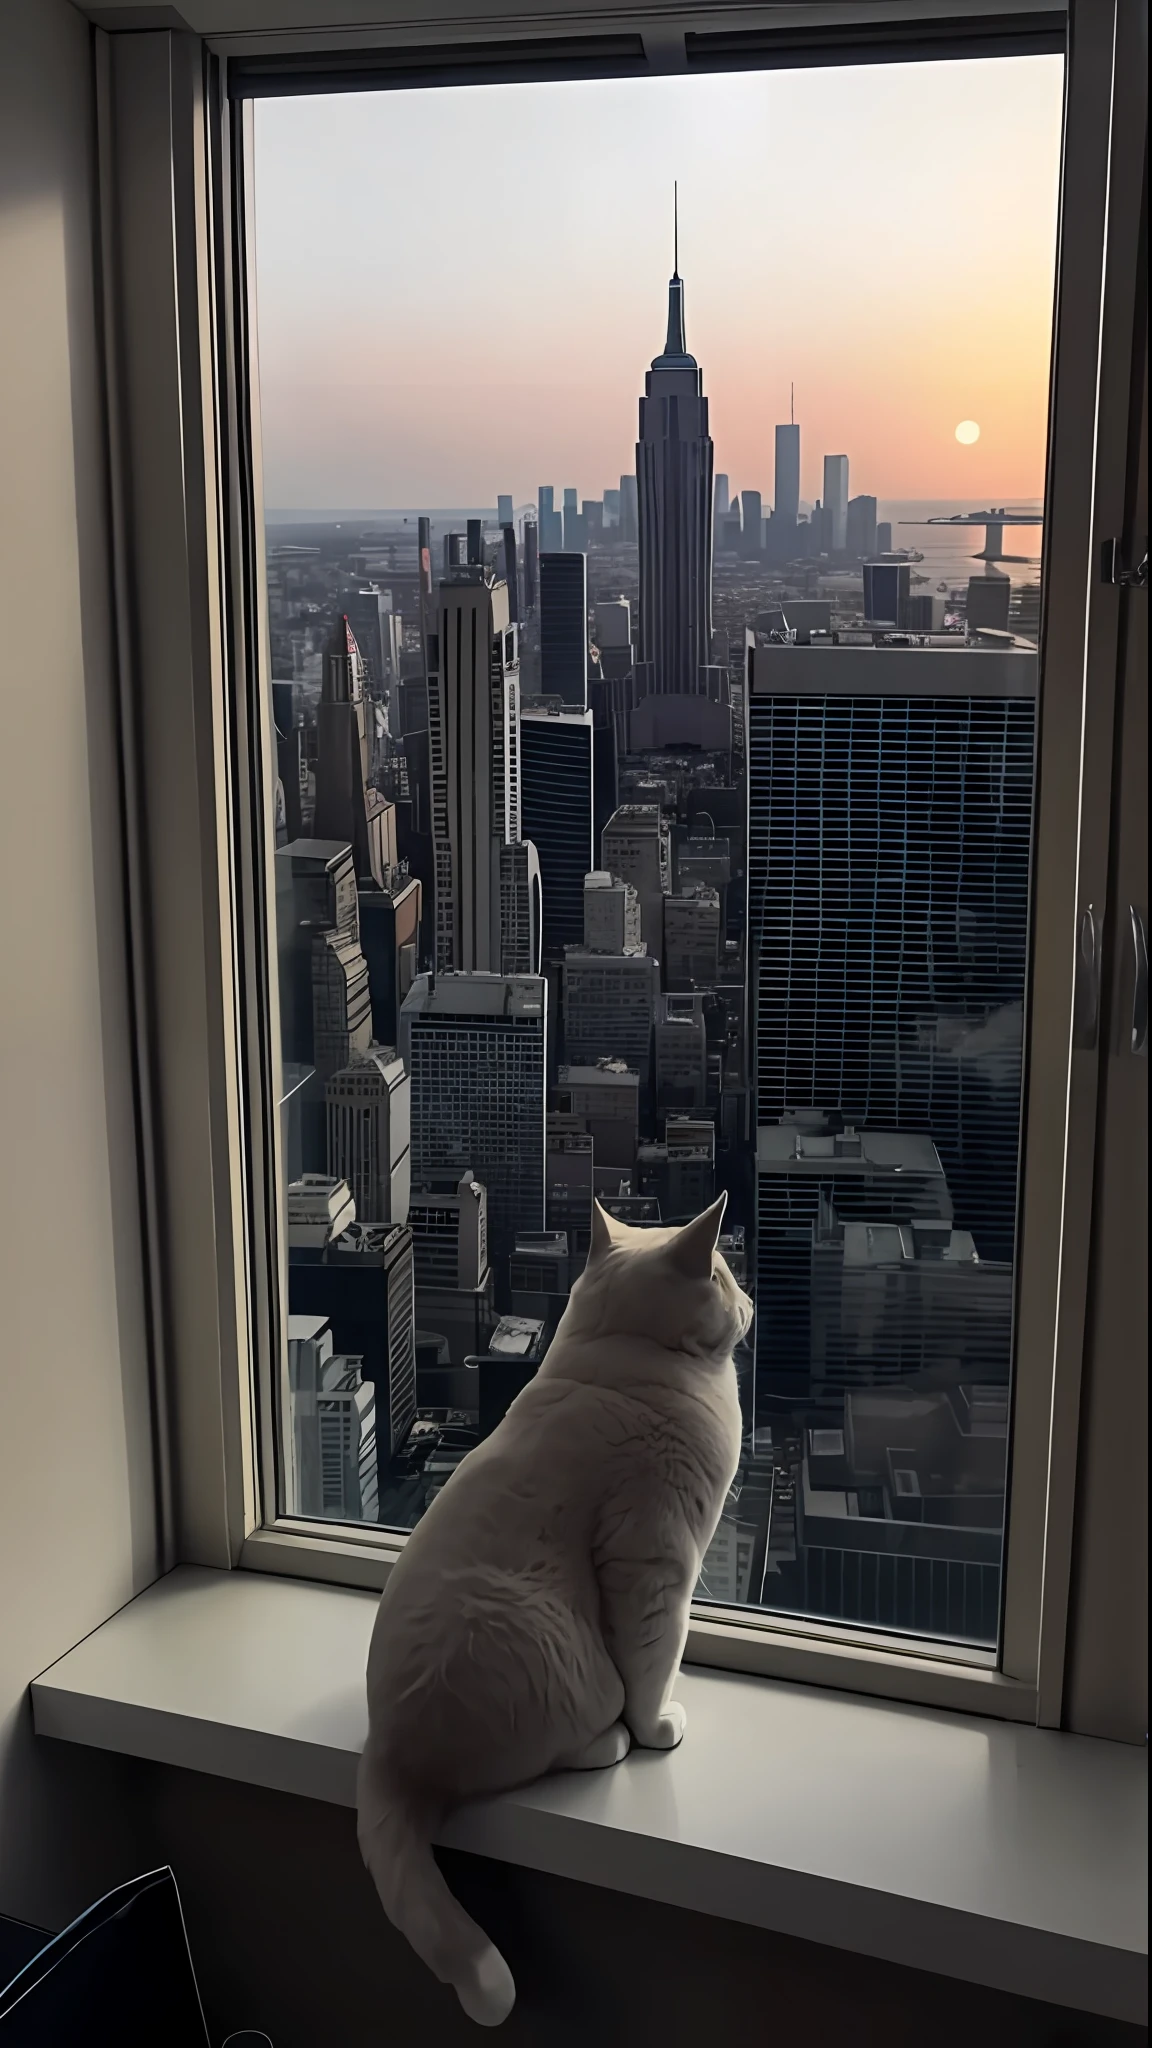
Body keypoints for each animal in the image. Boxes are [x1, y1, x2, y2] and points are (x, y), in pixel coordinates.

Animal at [354, 1196, 750, 2023]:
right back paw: (612, 1742)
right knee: (565, 1737)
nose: (753, 1301)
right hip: (556, 1649)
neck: (617, 1349)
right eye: (727, 1276)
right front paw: (658, 1727)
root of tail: (386, 1755)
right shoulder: (655, 1561)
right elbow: (654, 1660)